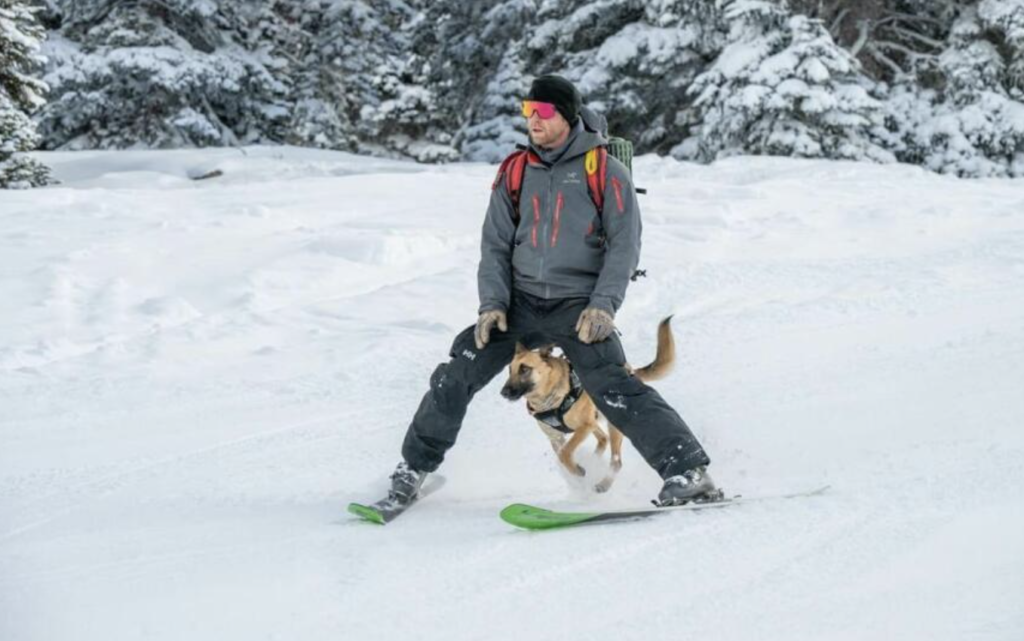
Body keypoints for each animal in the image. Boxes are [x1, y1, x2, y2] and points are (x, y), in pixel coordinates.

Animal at [499, 317, 675, 491]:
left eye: (524, 369)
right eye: (510, 370)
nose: (503, 392)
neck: (550, 401)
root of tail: (628, 370)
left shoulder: (583, 427)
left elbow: (565, 453)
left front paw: (577, 470)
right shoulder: (556, 437)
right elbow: (561, 455)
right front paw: (576, 472)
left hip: (611, 425)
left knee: (616, 460)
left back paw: (604, 483)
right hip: (595, 422)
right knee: (603, 439)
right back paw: (593, 461)